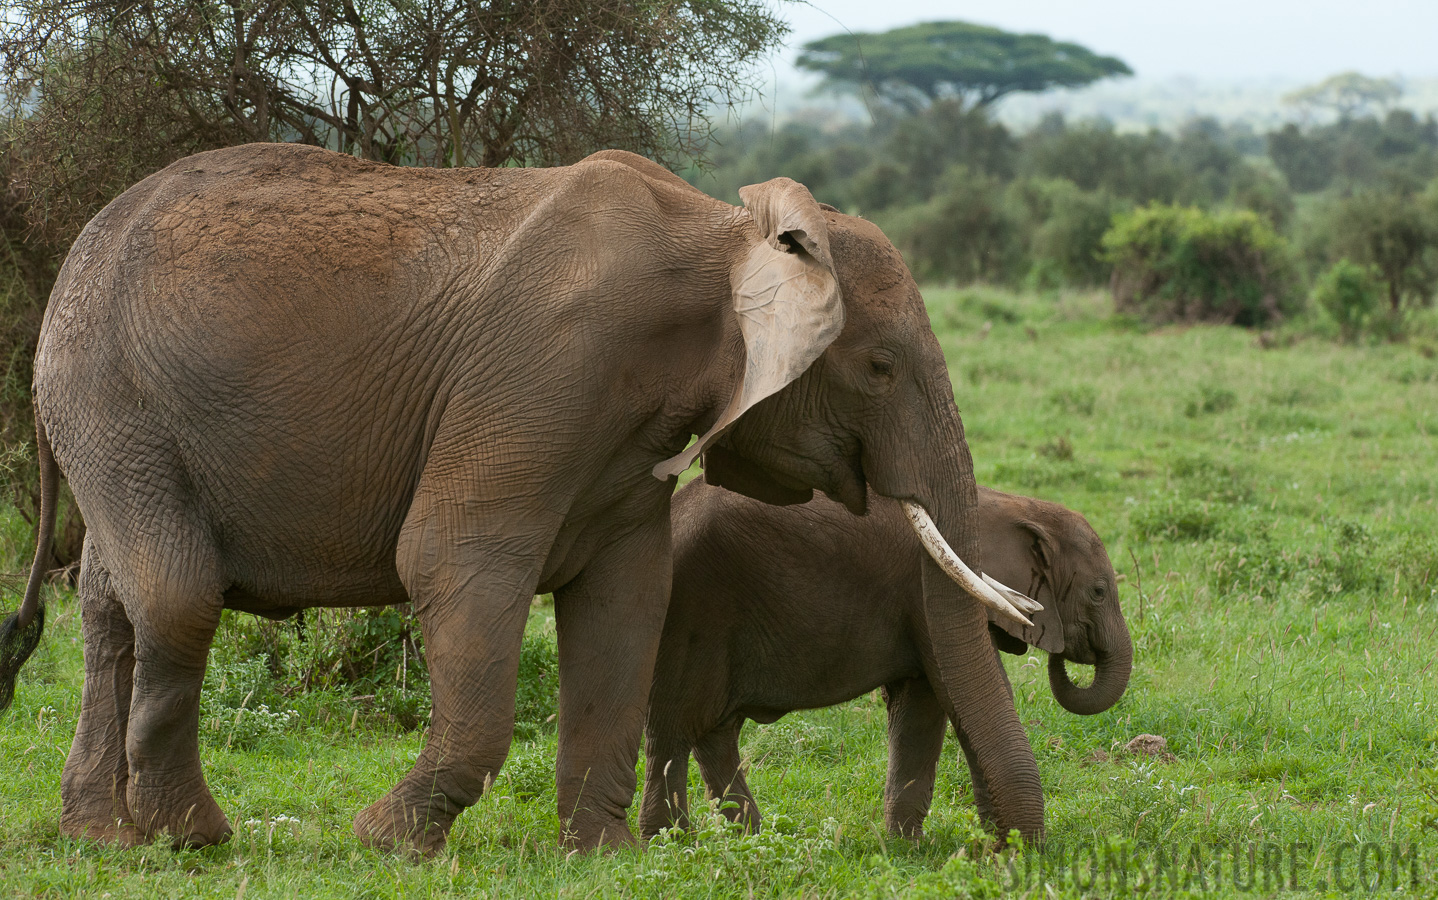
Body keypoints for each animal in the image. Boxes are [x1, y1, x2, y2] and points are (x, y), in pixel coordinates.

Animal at [0, 140, 1035, 845]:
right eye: (881, 368)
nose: (1006, 849)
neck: (720, 234)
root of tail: (76, 251)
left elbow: (626, 601)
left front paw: (602, 854)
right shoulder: (546, 369)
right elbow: (451, 557)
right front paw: (387, 841)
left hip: (112, 419)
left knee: (111, 602)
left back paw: (105, 837)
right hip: (113, 399)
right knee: (175, 596)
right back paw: (193, 837)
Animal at [644, 480, 1133, 839]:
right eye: (1098, 592)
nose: (1062, 652)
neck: (1008, 504)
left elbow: (921, 706)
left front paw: (905, 848)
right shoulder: (929, 592)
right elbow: (964, 695)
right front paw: (1006, 851)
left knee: (711, 731)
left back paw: (752, 840)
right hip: (692, 614)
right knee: (673, 730)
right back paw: (671, 845)